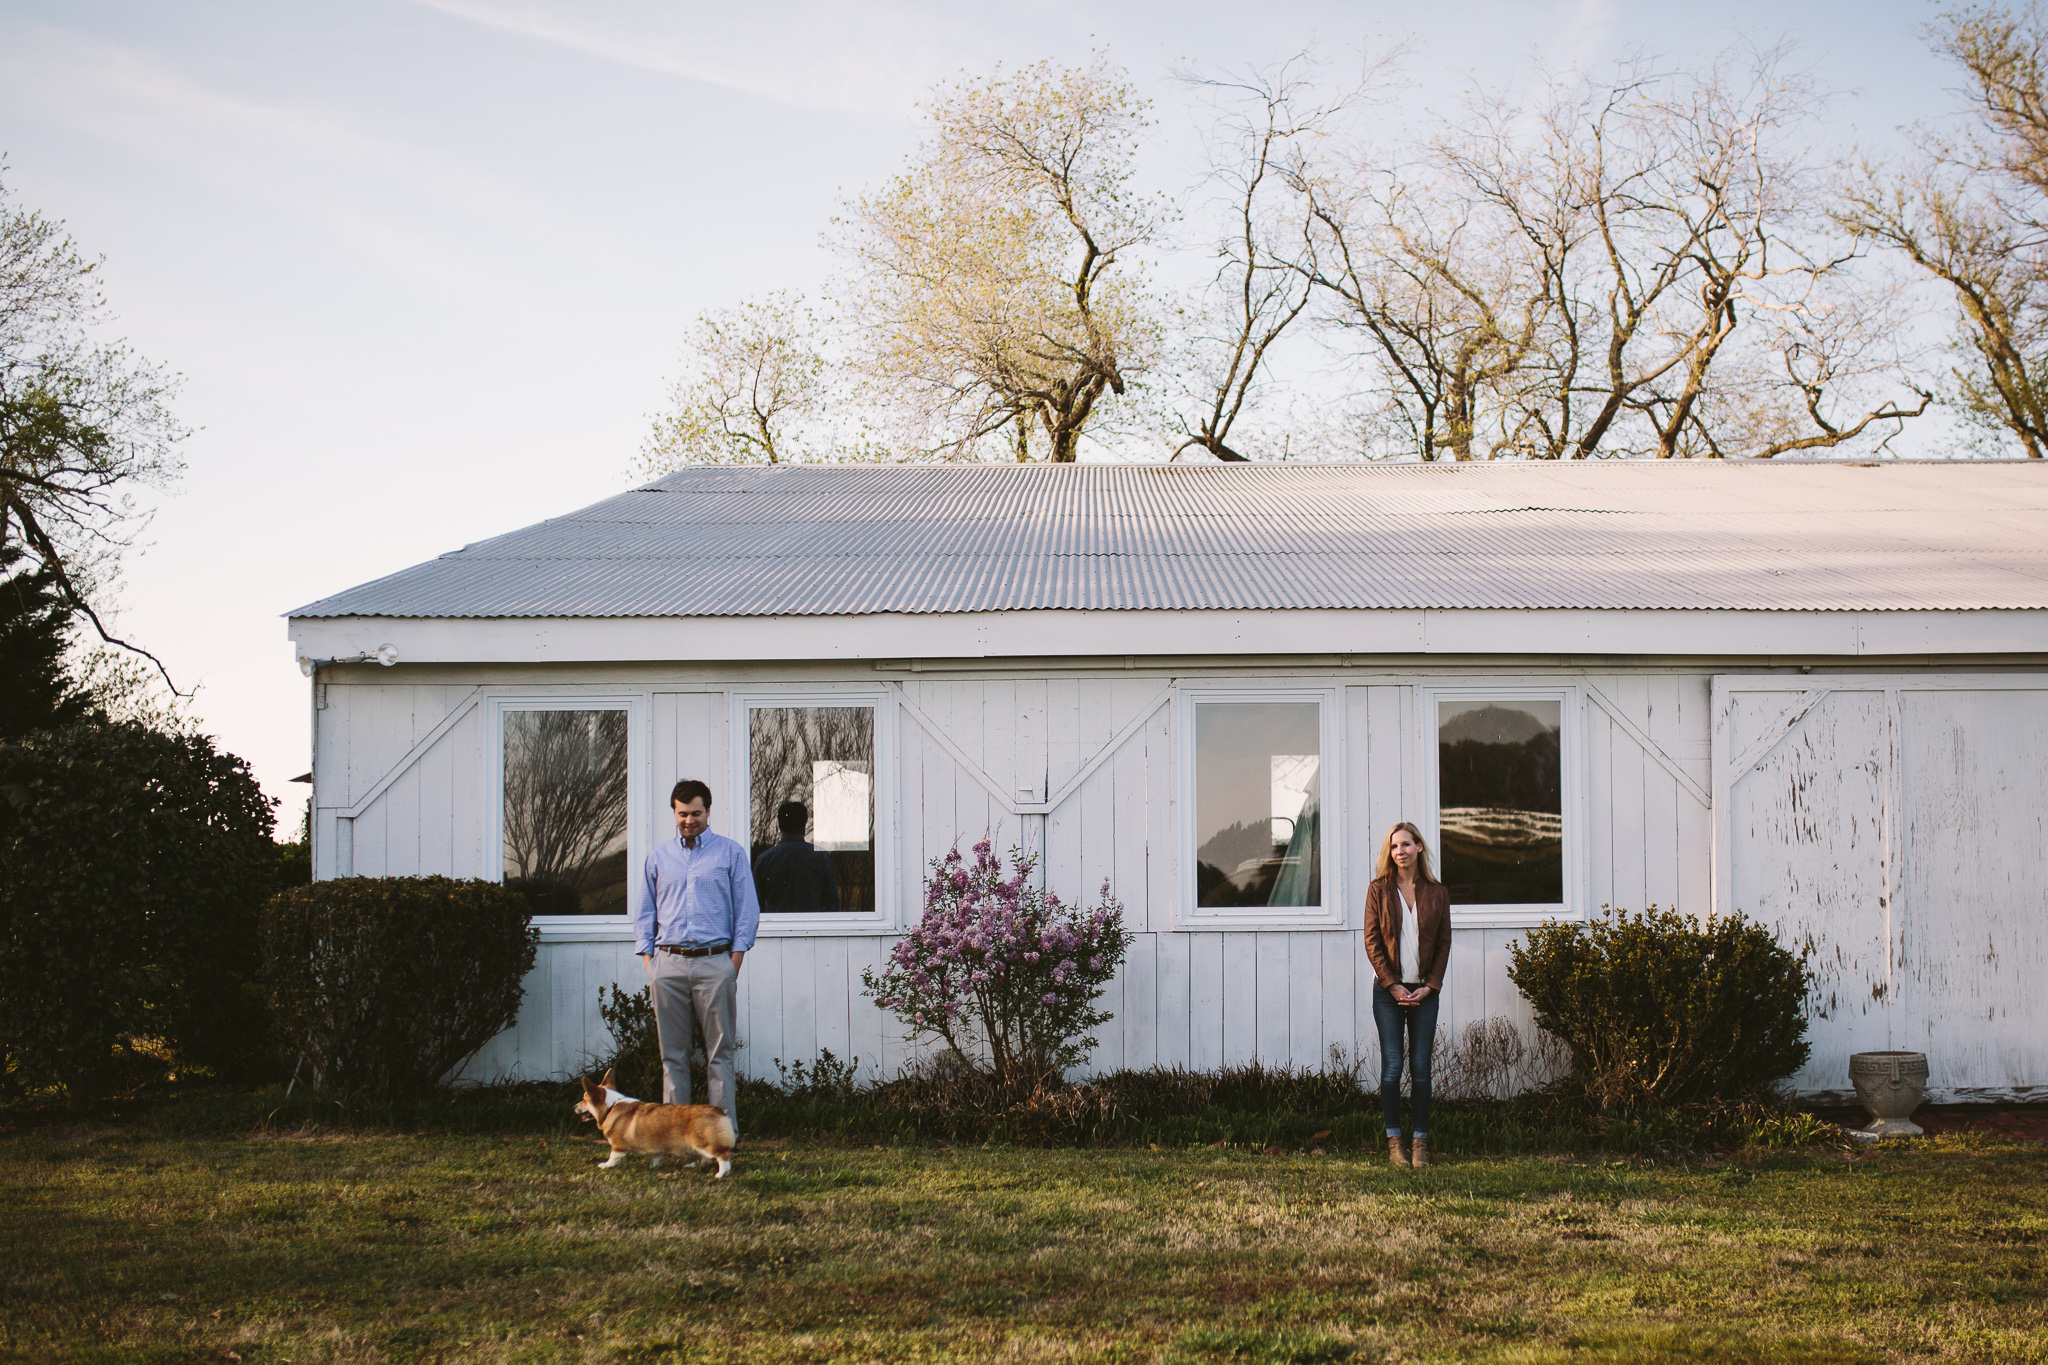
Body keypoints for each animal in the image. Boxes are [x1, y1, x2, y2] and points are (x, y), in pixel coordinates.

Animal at [577, 1064, 737, 1178]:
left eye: (584, 1100)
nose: (574, 1107)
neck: (611, 1106)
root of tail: (719, 1110)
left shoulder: (618, 1146)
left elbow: (613, 1157)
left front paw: (605, 1165)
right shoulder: (657, 1145)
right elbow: (657, 1157)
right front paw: (654, 1167)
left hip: (705, 1143)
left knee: (723, 1156)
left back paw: (721, 1174)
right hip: (699, 1145)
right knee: (707, 1159)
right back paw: (692, 1165)